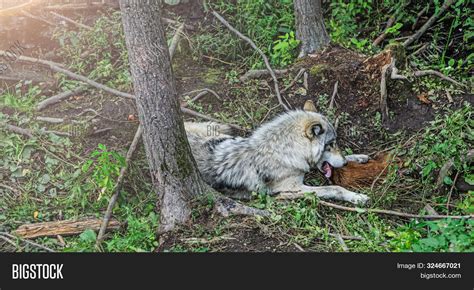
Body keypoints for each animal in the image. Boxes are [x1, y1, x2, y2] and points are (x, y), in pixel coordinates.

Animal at [184, 101, 370, 204]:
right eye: (330, 144)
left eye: (335, 143)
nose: (344, 163)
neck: (284, 152)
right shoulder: (292, 189)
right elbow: (334, 188)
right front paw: (358, 197)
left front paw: (359, 157)